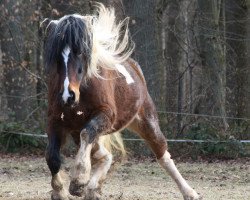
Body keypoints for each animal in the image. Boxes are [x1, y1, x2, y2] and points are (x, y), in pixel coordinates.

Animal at [41, 3, 201, 200]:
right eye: (56, 56)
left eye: (80, 52)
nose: (67, 95)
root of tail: (135, 68)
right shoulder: (55, 120)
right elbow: (52, 157)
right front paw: (61, 191)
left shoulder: (106, 114)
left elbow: (87, 134)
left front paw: (79, 180)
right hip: (76, 130)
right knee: (104, 156)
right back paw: (93, 189)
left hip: (146, 122)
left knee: (163, 155)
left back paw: (190, 192)